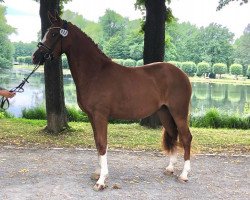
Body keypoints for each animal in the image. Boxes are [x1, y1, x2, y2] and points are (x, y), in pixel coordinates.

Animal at [32, 12, 193, 191]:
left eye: (53, 34)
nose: (35, 57)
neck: (95, 73)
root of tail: (183, 75)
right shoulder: (92, 117)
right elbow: (97, 143)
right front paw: (98, 173)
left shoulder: (100, 115)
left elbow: (102, 143)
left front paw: (101, 181)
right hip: (164, 112)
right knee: (173, 135)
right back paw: (170, 168)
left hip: (179, 112)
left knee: (186, 137)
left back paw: (184, 175)